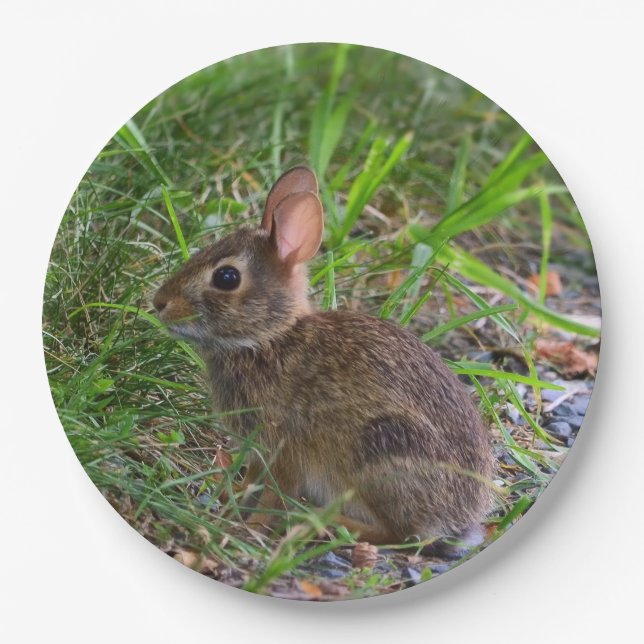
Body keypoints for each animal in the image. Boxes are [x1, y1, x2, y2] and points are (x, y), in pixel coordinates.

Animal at [153, 166, 495, 553]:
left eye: (227, 277)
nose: (159, 302)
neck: (270, 339)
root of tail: (460, 518)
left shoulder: (284, 447)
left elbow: (274, 492)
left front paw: (252, 525)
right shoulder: (258, 451)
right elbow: (253, 481)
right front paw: (230, 495)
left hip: (382, 452)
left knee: (400, 535)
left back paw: (321, 522)